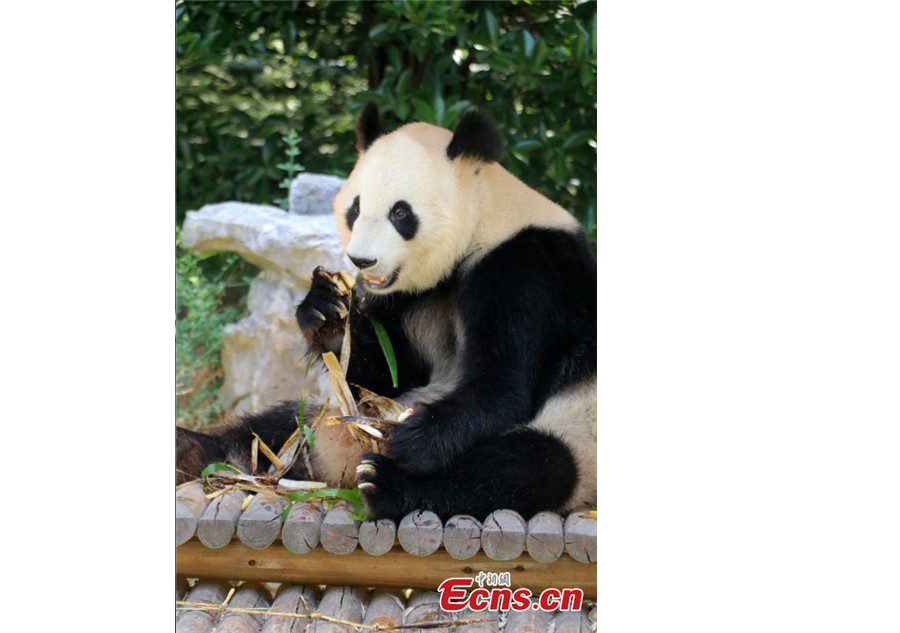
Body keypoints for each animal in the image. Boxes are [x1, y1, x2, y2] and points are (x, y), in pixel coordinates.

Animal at [178, 101, 596, 520]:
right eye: (355, 207)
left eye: (400, 213)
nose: (361, 260)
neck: (483, 218)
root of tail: (339, 467)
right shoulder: (410, 296)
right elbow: (388, 373)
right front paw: (327, 312)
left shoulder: (524, 270)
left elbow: (502, 386)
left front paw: (415, 437)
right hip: (320, 419)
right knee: (280, 423)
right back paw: (195, 449)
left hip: (577, 435)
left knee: (528, 467)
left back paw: (385, 483)